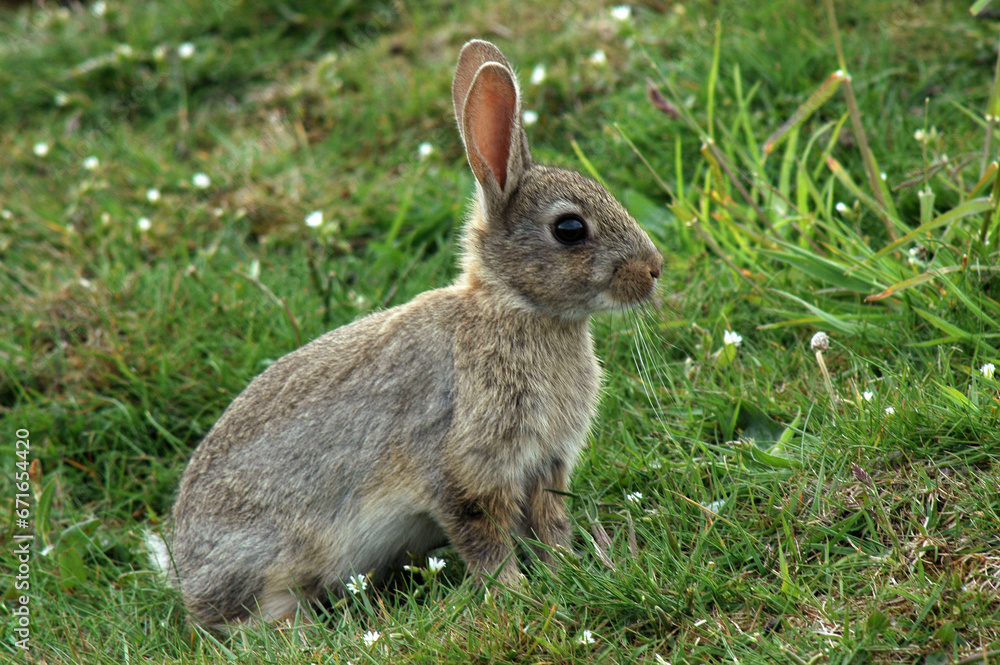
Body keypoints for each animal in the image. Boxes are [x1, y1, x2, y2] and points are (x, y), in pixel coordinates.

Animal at [148, 39, 663, 631]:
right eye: (570, 229)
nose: (654, 269)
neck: (516, 309)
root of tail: (184, 572)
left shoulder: (544, 466)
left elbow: (549, 526)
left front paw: (567, 572)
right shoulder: (460, 468)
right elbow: (485, 542)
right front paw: (517, 595)